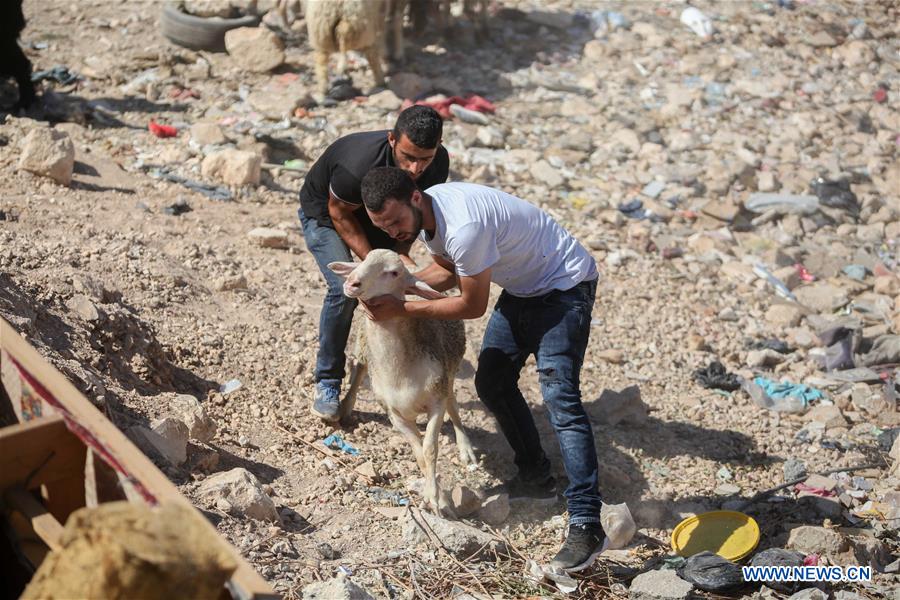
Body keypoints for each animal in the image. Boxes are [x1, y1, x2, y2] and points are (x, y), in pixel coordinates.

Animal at [328, 248, 478, 516]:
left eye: (394, 272)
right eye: (364, 260)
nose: (352, 282)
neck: (400, 371)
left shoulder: (436, 400)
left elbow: (430, 450)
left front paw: (436, 500)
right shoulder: (395, 415)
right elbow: (419, 455)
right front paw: (435, 496)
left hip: (449, 371)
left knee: (453, 405)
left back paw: (465, 448)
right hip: (363, 345)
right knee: (359, 370)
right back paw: (344, 406)